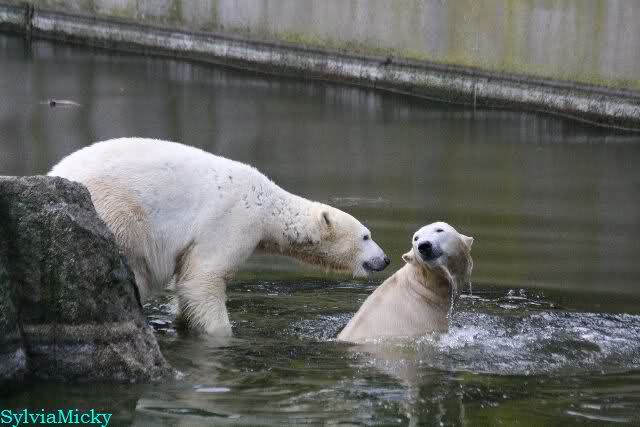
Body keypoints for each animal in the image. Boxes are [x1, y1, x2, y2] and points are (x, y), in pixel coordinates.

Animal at [48, 138, 390, 335]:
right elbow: (204, 277)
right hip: (120, 214)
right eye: (366, 236)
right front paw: (222, 331)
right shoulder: (232, 220)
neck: (266, 204)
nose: (384, 259)